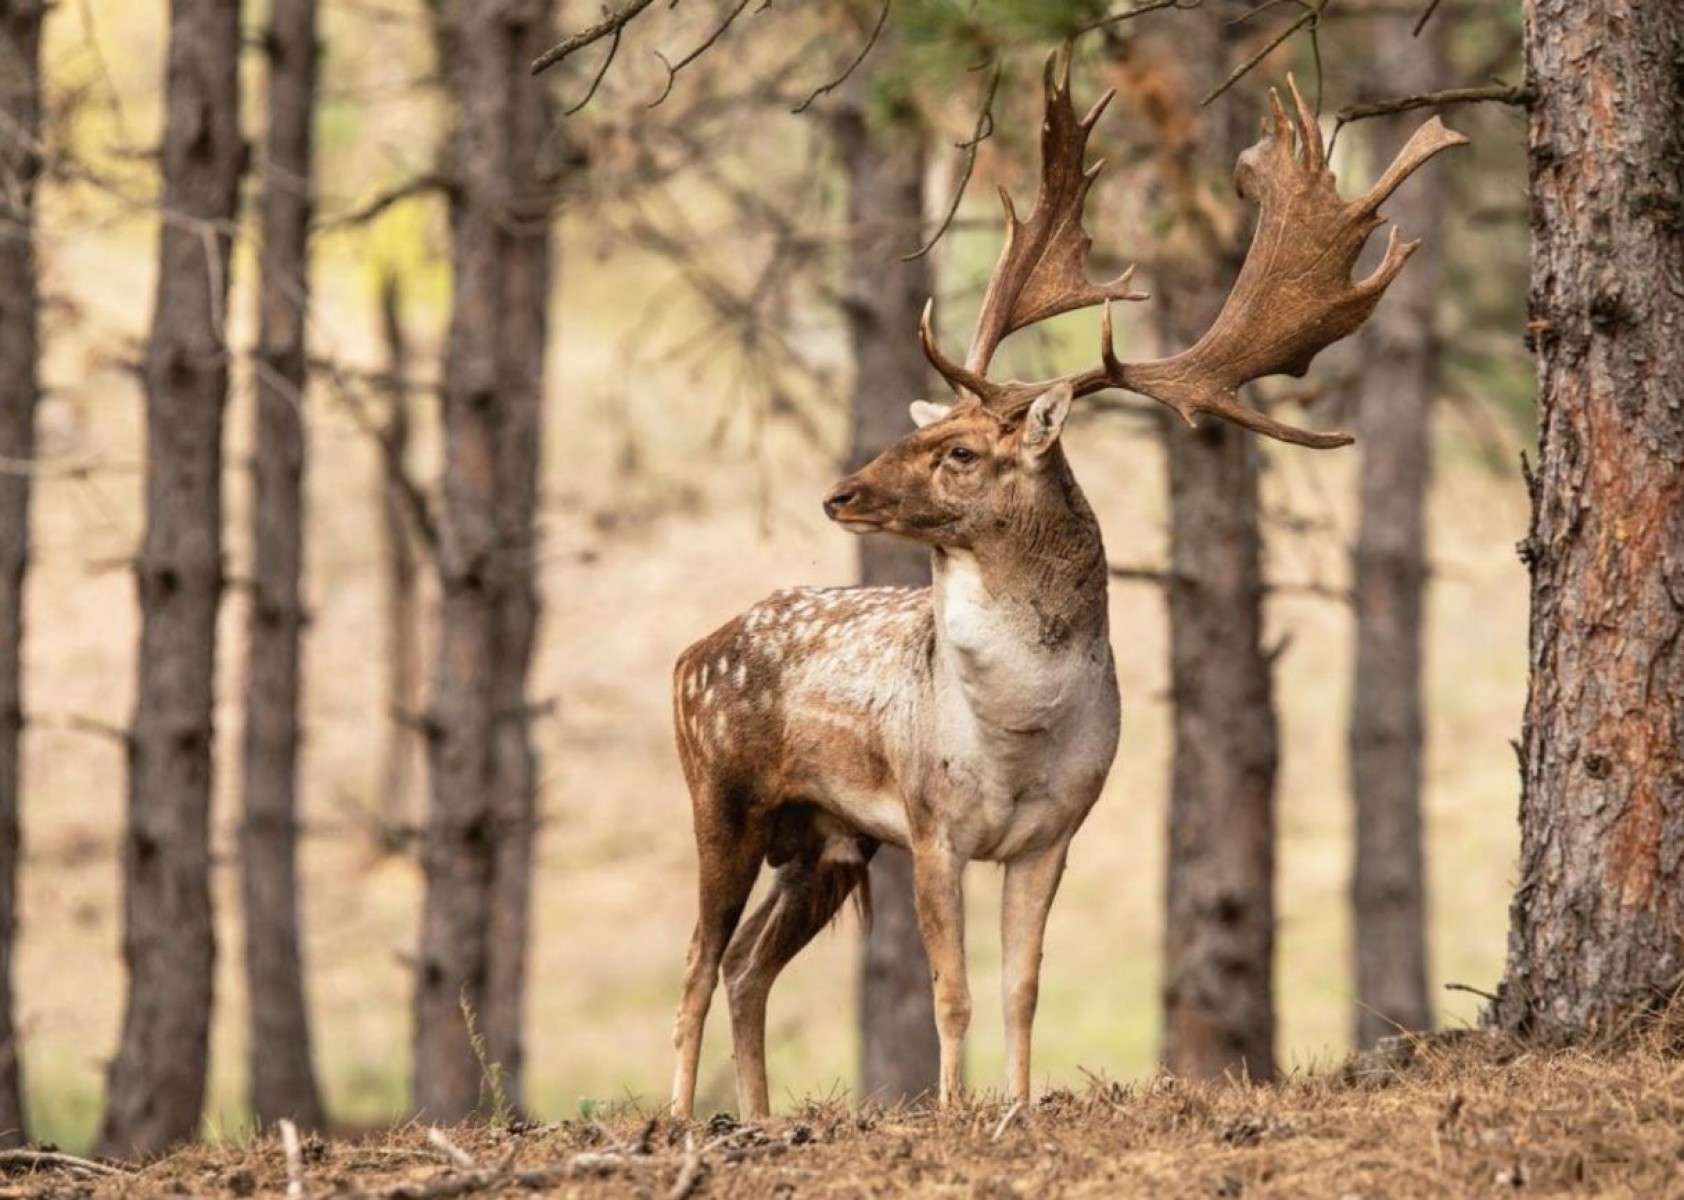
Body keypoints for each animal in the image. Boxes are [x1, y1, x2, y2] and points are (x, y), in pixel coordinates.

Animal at [666, 61, 1461, 1117]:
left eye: (959, 451)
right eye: (921, 430)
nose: (841, 493)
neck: (1016, 736)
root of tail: (691, 652)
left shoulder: (1052, 833)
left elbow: (1021, 987)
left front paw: (1015, 1105)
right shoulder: (931, 821)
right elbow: (952, 989)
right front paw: (953, 1110)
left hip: (823, 838)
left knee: (745, 963)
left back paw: (752, 1116)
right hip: (723, 790)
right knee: (696, 963)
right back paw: (681, 1120)